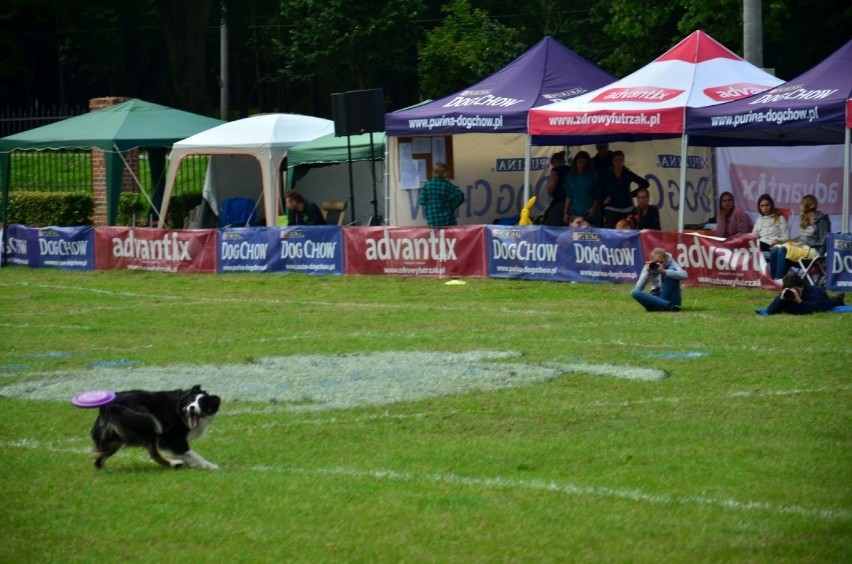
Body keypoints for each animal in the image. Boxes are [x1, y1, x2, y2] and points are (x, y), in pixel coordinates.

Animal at [90, 386, 220, 470]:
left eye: (202, 404)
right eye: (190, 401)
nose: (192, 407)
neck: (180, 412)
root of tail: (108, 405)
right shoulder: (174, 438)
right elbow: (190, 453)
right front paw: (209, 466)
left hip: (114, 438)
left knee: (99, 457)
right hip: (146, 423)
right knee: (154, 453)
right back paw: (174, 464)